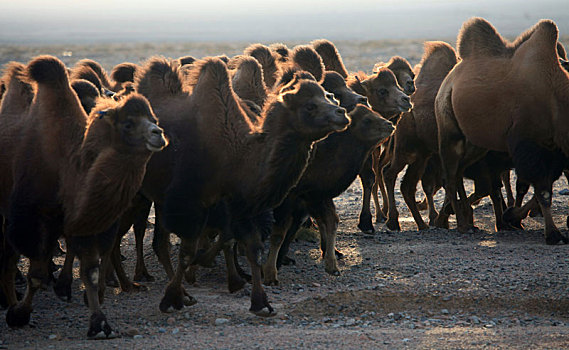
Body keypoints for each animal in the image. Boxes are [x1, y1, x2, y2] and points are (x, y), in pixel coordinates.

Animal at [0, 56, 166, 338]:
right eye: (128, 123)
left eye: (152, 117)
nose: (159, 133)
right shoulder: (30, 219)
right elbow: (35, 273)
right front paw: (19, 313)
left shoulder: (86, 224)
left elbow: (91, 271)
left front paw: (99, 322)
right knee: (10, 259)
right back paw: (10, 302)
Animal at [434, 18, 568, 243]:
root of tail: (448, 80)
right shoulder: (529, 142)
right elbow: (542, 191)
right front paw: (553, 234)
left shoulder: (554, 148)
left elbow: (540, 187)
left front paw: (512, 217)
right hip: (449, 132)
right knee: (450, 177)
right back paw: (462, 225)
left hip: (476, 142)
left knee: (461, 171)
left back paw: (455, 217)